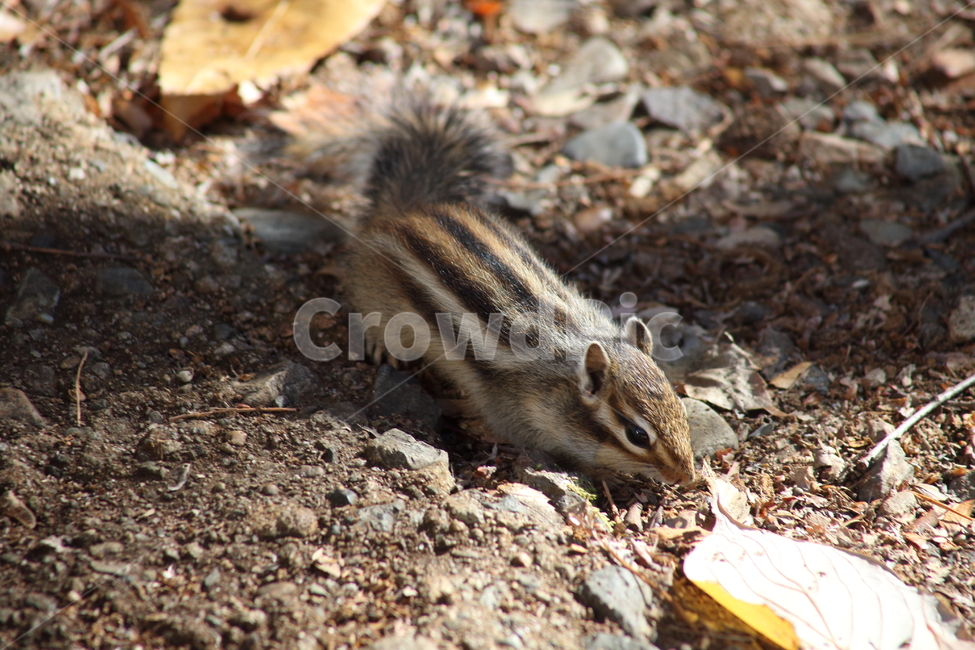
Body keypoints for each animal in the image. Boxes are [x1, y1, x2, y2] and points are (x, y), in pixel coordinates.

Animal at [306, 98, 695, 485]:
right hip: (375, 294)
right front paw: (604, 473)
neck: (562, 371)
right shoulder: (514, 412)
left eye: (680, 406)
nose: (688, 476)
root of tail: (406, 210)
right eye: (638, 435)